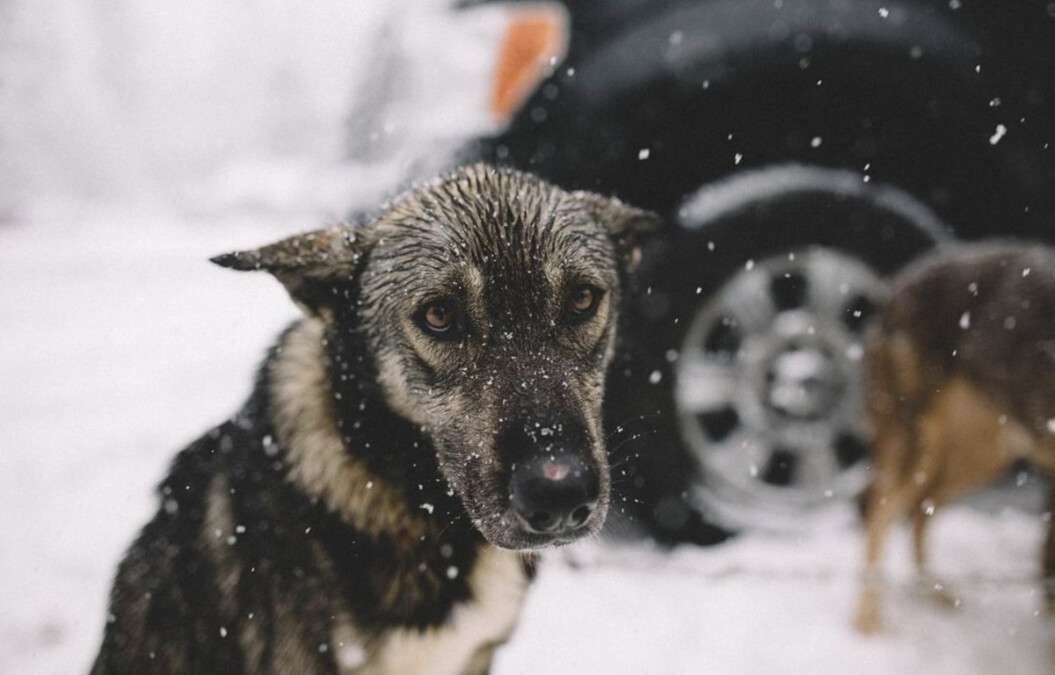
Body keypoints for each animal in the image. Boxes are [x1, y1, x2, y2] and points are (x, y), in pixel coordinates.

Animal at [852, 244, 1055, 637]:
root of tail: (896, 287)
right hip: (918, 448)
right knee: (878, 512)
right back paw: (867, 622)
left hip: (981, 456)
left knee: (921, 509)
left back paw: (930, 590)